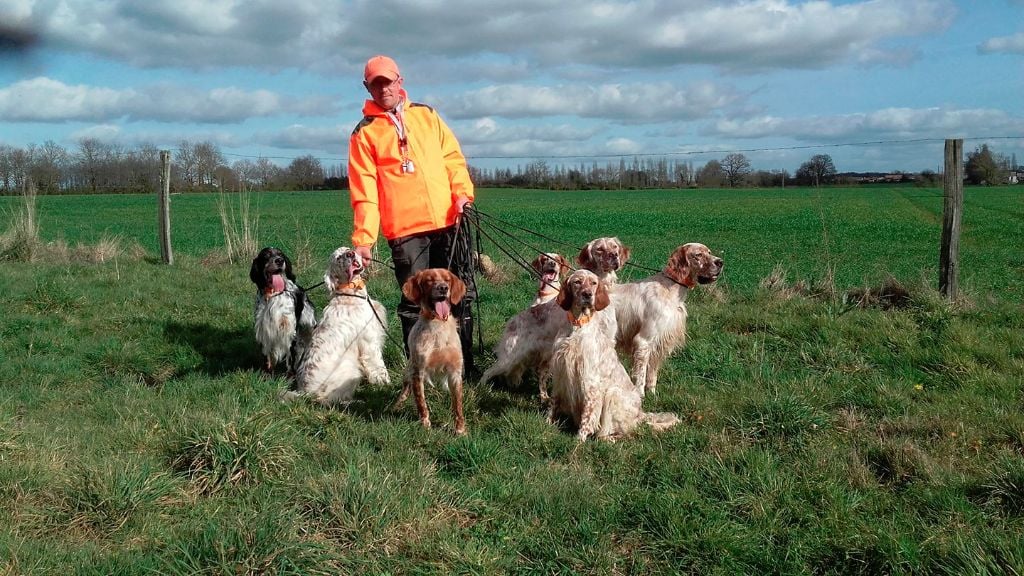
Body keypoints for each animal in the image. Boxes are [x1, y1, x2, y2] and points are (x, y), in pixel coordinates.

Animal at [248, 245, 315, 373]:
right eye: (266, 255)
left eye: (281, 254)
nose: (279, 260)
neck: (273, 294)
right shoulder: (263, 329)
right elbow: (267, 356)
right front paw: (267, 374)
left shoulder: (290, 329)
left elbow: (292, 357)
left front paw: (291, 376)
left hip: (310, 325)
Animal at [288, 245, 391, 403]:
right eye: (338, 258)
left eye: (347, 249)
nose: (350, 254)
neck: (350, 294)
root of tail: (305, 392)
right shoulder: (369, 342)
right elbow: (378, 366)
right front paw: (385, 384)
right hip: (350, 369)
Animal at [393, 268, 468, 434]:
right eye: (429, 280)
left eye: (447, 280)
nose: (443, 288)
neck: (438, 323)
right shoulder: (418, 371)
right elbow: (421, 403)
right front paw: (425, 425)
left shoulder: (455, 372)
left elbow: (458, 406)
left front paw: (460, 430)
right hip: (408, 373)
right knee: (405, 391)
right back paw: (395, 407)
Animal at [548, 268, 675, 438]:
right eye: (577, 282)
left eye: (593, 283)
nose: (588, 294)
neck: (577, 326)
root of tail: (640, 413)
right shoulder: (560, 371)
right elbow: (553, 401)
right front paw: (546, 423)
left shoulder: (590, 382)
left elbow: (587, 416)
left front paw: (578, 440)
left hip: (613, 394)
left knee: (616, 433)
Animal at [610, 241, 724, 393]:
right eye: (698, 255)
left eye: (709, 252)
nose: (720, 262)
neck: (670, 289)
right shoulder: (643, 342)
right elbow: (641, 376)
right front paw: (641, 395)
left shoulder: (660, 342)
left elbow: (652, 374)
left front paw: (652, 393)